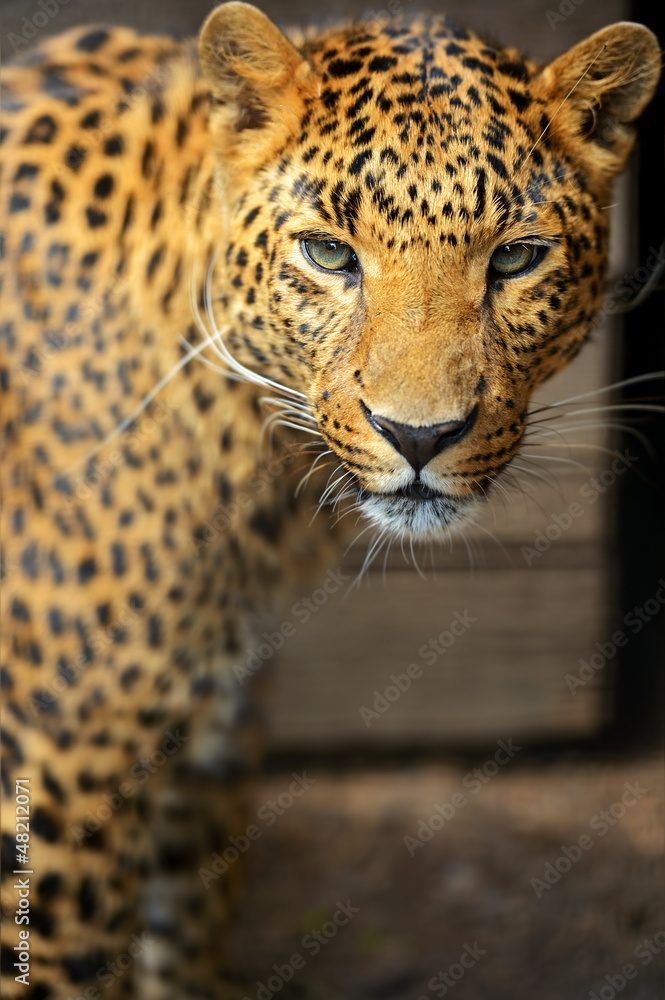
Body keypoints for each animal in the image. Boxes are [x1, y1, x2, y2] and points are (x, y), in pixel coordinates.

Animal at [0, 3, 661, 998]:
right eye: (326, 254)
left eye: (514, 259)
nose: (420, 436)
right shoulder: (72, 753)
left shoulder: (219, 712)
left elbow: (189, 922)